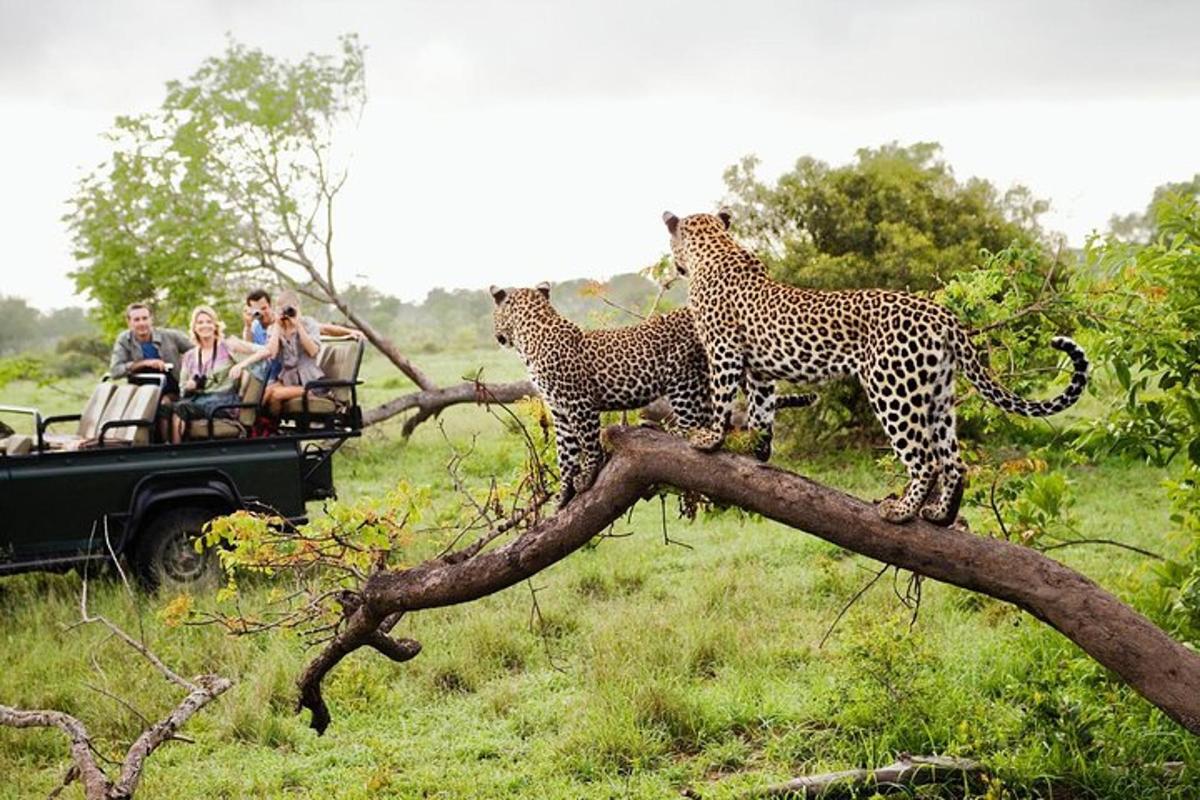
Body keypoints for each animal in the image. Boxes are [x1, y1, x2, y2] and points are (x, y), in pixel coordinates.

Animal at [489, 283, 816, 506]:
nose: (497, 337)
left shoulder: (579, 404)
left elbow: (588, 444)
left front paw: (587, 475)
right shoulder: (559, 410)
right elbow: (565, 453)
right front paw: (563, 495)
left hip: (683, 380)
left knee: (693, 428)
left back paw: (661, 429)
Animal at [662, 209, 1094, 527]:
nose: (674, 264)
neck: (716, 247)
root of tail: (942, 315)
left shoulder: (723, 351)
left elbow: (722, 398)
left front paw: (709, 439)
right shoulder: (761, 370)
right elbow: (761, 411)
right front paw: (757, 449)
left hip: (892, 389)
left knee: (925, 460)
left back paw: (901, 512)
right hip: (937, 395)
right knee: (954, 462)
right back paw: (939, 515)